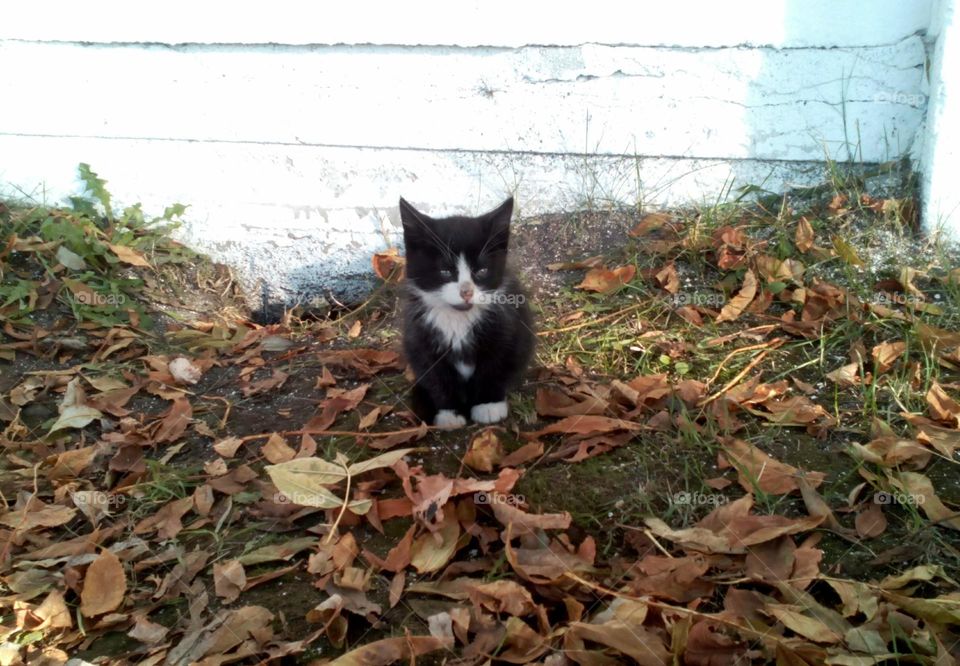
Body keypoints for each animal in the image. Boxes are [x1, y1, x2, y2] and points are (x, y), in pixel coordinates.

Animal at [398, 195, 532, 428]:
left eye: (482, 271)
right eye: (445, 271)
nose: (466, 292)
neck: (458, 319)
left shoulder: (506, 327)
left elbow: (495, 364)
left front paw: (488, 405)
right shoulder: (420, 339)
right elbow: (437, 376)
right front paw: (449, 413)